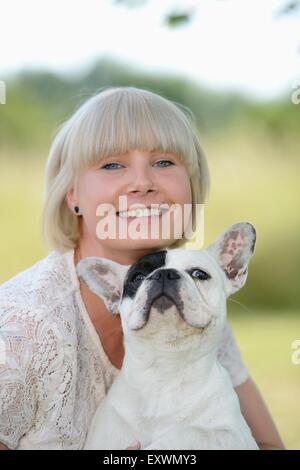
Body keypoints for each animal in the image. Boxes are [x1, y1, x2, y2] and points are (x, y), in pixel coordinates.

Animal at [77, 222, 258, 450]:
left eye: (199, 274)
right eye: (137, 278)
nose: (164, 274)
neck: (166, 367)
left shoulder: (234, 435)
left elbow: (192, 432)